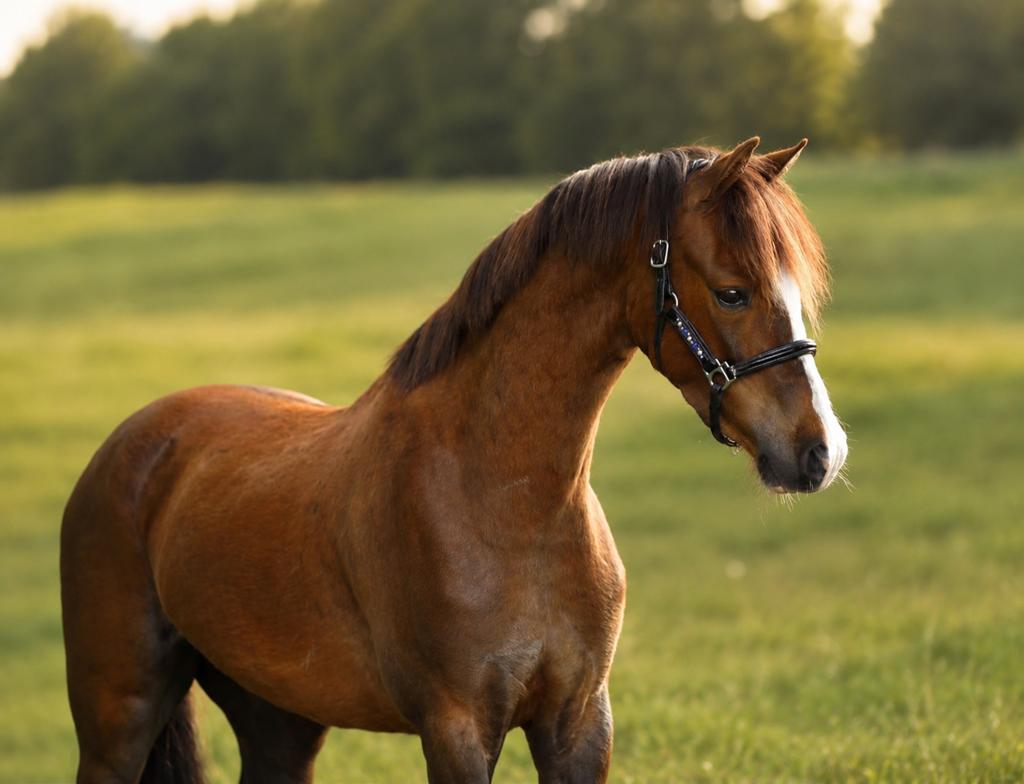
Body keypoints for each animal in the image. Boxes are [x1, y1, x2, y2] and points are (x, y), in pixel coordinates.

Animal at [61, 137, 847, 784]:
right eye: (732, 291)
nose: (820, 452)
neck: (506, 501)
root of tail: (135, 442)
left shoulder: (579, 724)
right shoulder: (458, 729)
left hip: (278, 722)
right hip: (118, 717)